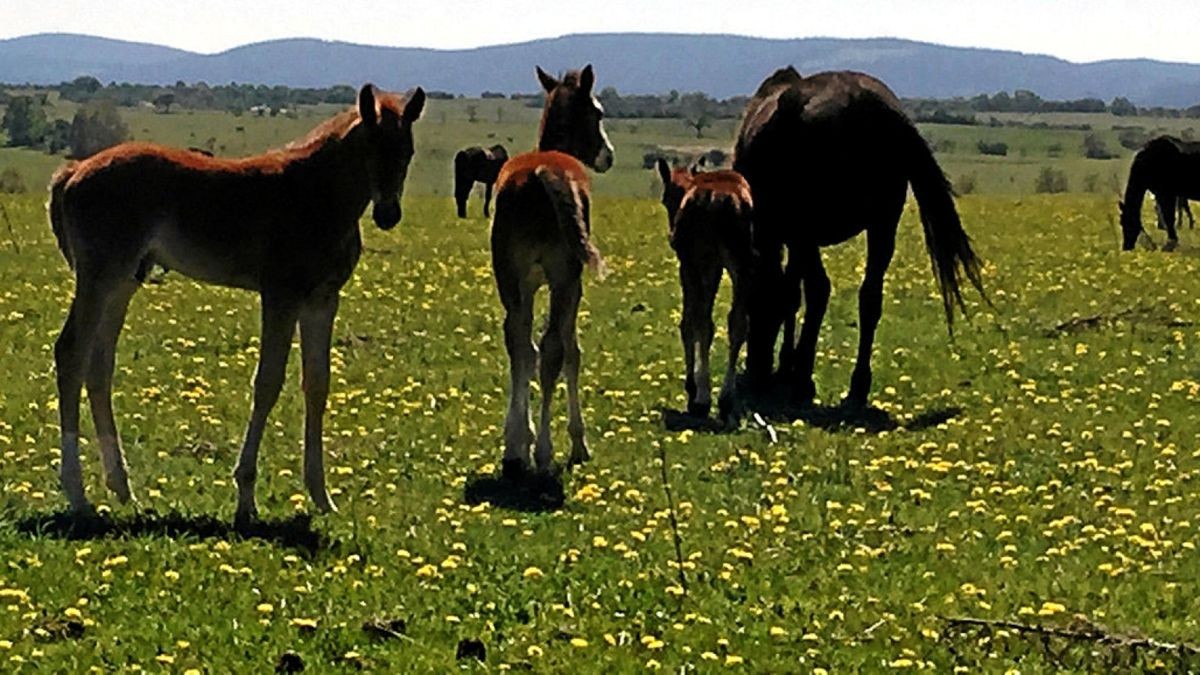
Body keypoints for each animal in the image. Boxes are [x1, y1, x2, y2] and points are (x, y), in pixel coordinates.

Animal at [729, 66, 984, 403]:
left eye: (751, 306)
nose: (757, 370)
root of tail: (872, 106)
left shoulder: (794, 236)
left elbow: (793, 293)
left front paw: (788, 368)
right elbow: (791, 294)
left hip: (809, 229)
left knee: (820, 290)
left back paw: (803, 377)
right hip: (881, 225)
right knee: (870, 298)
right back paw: (857, 384)